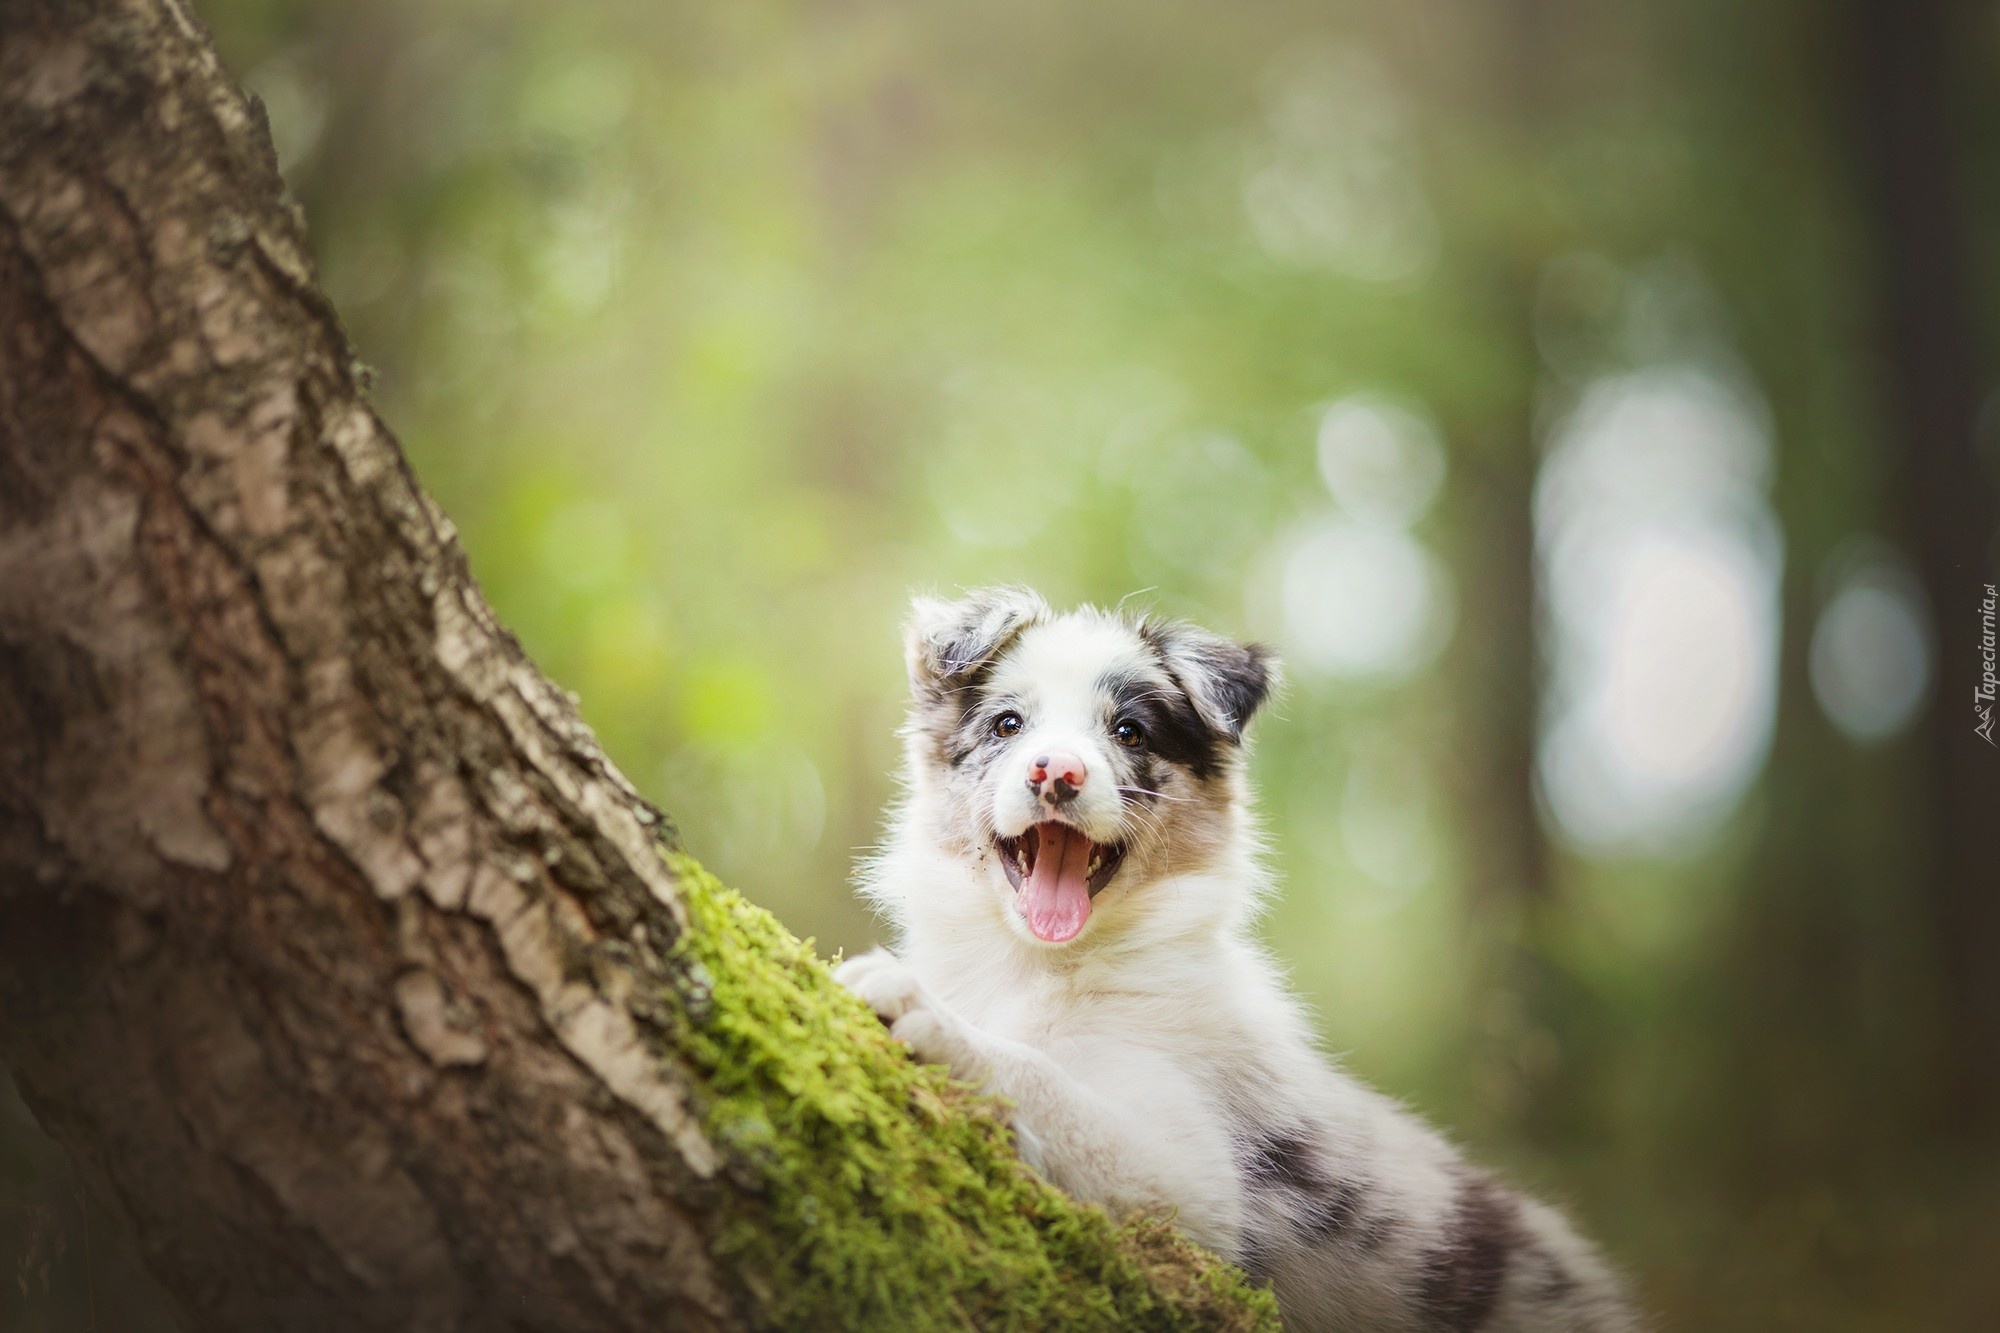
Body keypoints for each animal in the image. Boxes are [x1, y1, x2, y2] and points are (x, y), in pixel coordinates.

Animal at [836, 588, 1632, 1320]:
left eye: (1129, 731)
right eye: (1008, 723)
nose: (1055, 772)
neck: (1033, 965)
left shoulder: (1195, 1191)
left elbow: (1042, 1076)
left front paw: (931, 1015)